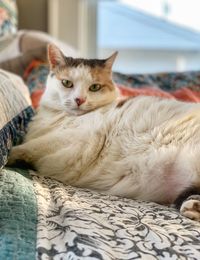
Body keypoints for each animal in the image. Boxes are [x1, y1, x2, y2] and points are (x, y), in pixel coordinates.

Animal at [7, 44, 200, 221]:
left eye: (94, 87)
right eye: (67, 83)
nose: (79, 99)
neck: (58, 118)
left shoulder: (76, 141)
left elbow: (30, 146)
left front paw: (8, 156)